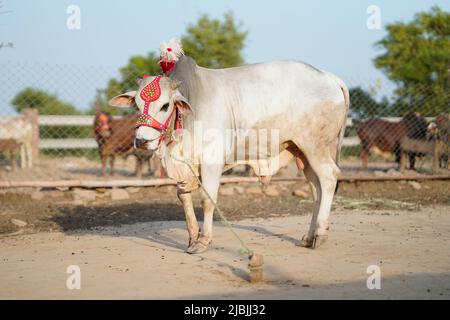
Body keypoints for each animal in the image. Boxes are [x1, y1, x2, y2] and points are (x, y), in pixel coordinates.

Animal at [109, 55, 348, 255]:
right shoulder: (184, 167)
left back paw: (319, 234)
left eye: (165, 105)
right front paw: (192, 238)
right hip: (303, 153)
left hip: (315, 146)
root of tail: (331, 78)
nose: (141, 140)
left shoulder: (212, 161)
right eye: (137, 105)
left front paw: (203, 241)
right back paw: (309, 237)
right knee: (316, 189)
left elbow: (207, 200)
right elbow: (184, 198)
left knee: (328, 179)